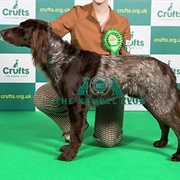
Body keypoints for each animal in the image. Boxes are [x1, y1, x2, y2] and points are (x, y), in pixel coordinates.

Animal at [1, 18, 180, 162]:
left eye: (21, 27)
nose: (2, 31)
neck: (61, 58)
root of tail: (166, 67)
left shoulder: (75, 104)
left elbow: (75, 133)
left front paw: (69, 155)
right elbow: (75, 130)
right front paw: (68, 149)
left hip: (159, 101)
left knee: (175, 126)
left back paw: (177, 155)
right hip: (153, 101)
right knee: (164, 125)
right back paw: (162, 143)